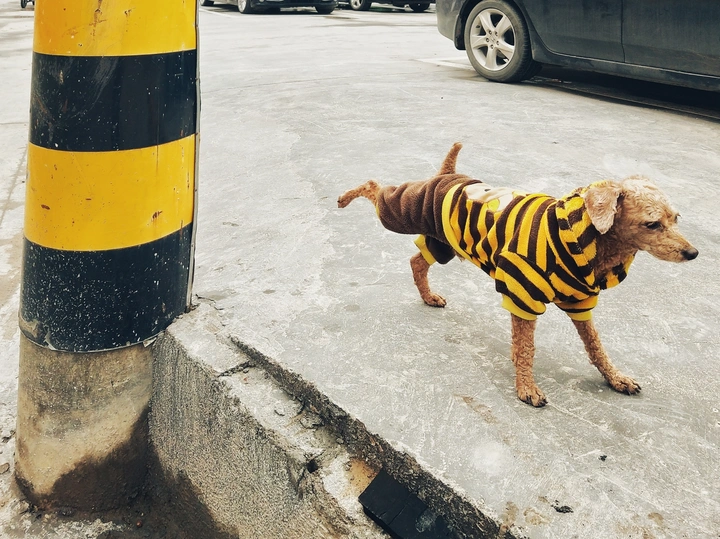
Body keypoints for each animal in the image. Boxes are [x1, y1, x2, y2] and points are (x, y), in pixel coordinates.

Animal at [338, 143, 698, 407]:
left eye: (676, 219)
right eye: (652, 224)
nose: (692, 253)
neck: (592, 239)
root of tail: (448, 174)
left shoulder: (580, 302)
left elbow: (595, 346)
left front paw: (615, 377)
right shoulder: (525, 295)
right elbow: (526, 348)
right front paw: (527, 388)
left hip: (444, 241)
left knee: (417, 261)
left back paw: (428, 296)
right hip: (405, 212)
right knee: (376, 190)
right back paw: (345, 197)